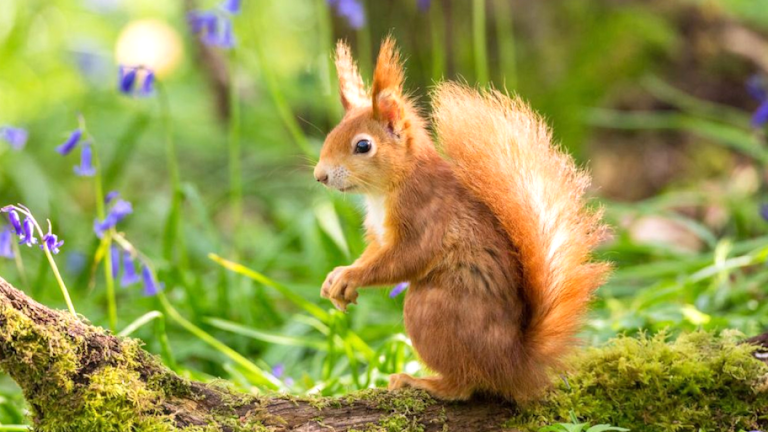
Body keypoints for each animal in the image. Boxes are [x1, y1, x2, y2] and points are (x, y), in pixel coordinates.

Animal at [314, 37, 611, 402]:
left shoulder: (425, 215)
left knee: (466, 384)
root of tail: (515, 363)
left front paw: (350, 276)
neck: (386, 190)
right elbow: (373, 253)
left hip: (431, 311)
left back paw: (422, 382)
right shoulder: (379, 234)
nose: (320, 176)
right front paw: (336, 278)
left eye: (363, 146)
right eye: (331, 134)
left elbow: (405, 259)